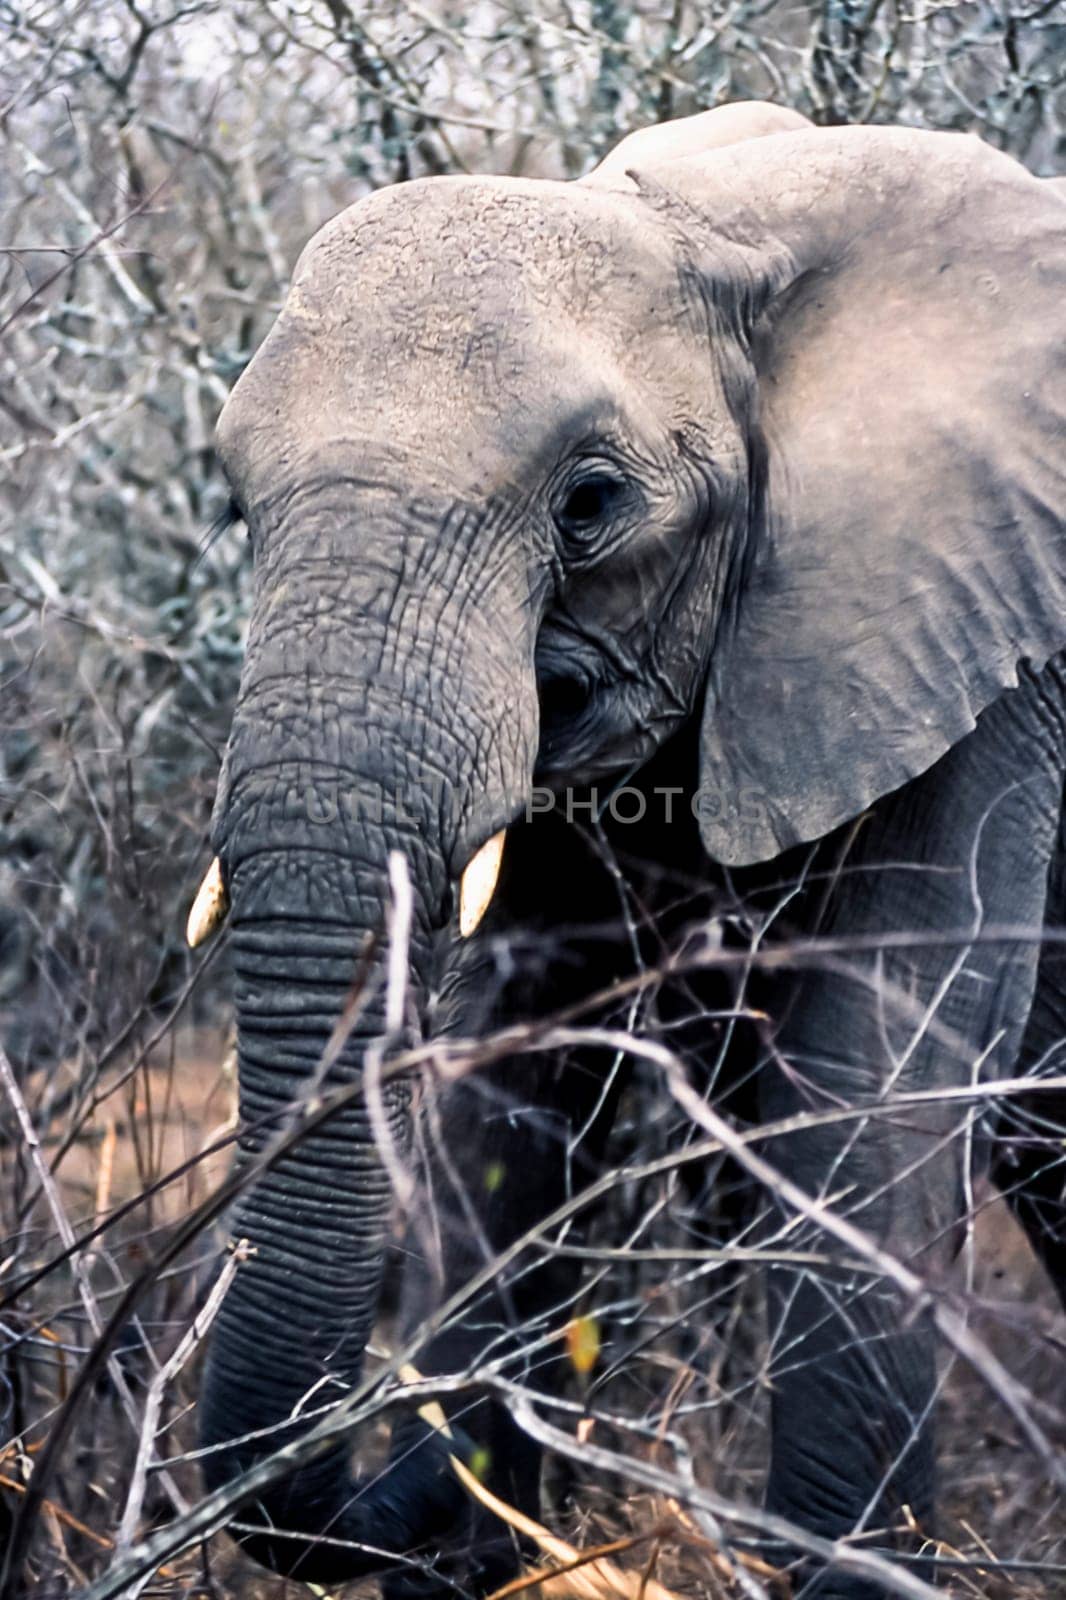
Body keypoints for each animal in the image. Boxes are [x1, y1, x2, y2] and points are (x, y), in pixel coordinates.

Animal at [191, 103, 1062, 1600]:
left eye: (588, 502)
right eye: (237, 498)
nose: (398, 1456)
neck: (710, 232)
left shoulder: (980, 628)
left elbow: (871, 1089)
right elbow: (518, 1083)